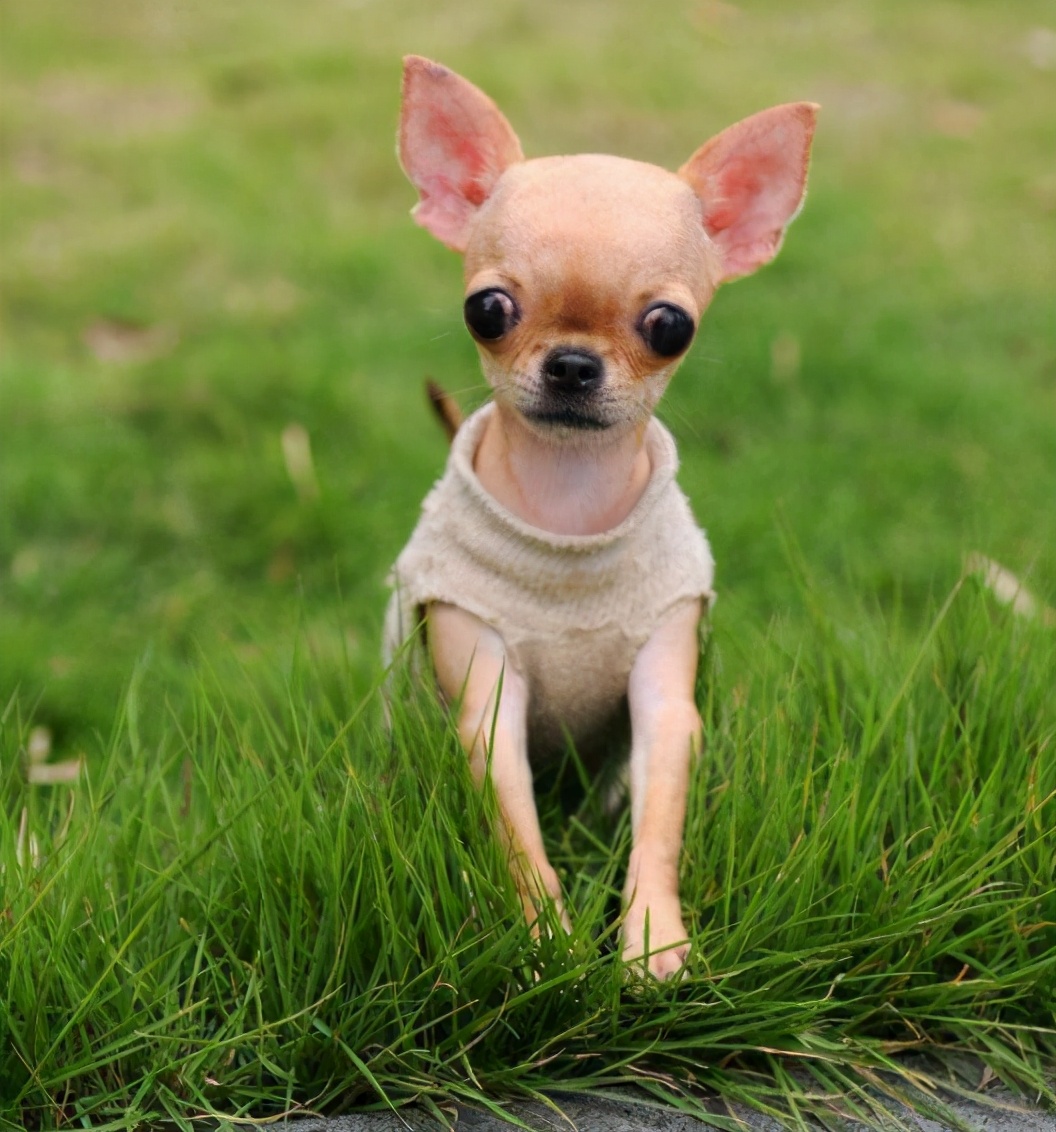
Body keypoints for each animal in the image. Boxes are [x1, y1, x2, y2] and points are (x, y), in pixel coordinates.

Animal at [387, 59, 814, 982]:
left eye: (670, 326)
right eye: (488, 310)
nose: (574, 363)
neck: (570, 509)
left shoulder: (665, 702)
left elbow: (659, 827)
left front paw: (654, 938)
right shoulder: (487, 704)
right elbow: (517, 833)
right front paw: (545, 939)